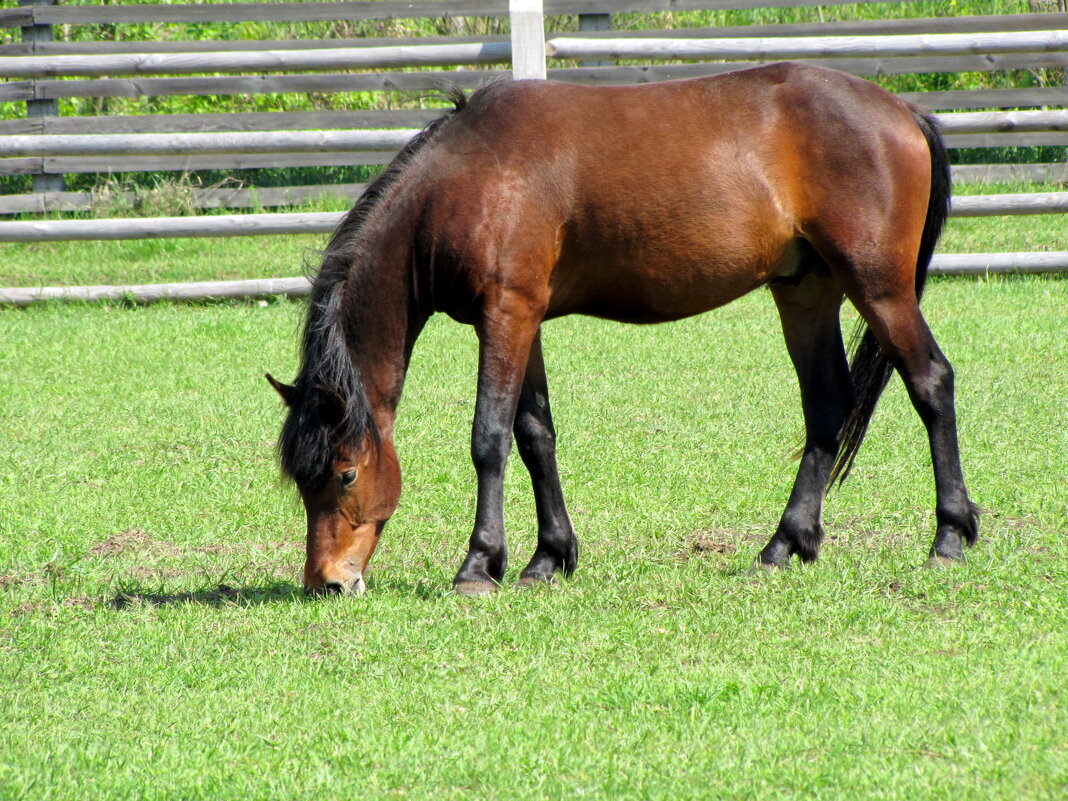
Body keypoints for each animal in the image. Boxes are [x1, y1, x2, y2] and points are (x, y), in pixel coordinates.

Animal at [264, 62, 978, 598]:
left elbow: (489, 439)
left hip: (878, 288)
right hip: (807, 291)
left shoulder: (505, 315)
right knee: (827, 405)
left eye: (345, 474)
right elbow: (536, 436)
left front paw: (479, 565)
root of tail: (901, 110)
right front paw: (547, 558)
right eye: (302, 480)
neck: (468, 180)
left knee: (930, 382)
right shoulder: (525, 320)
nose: (327, 582)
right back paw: (783, 545)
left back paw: (949, 537)